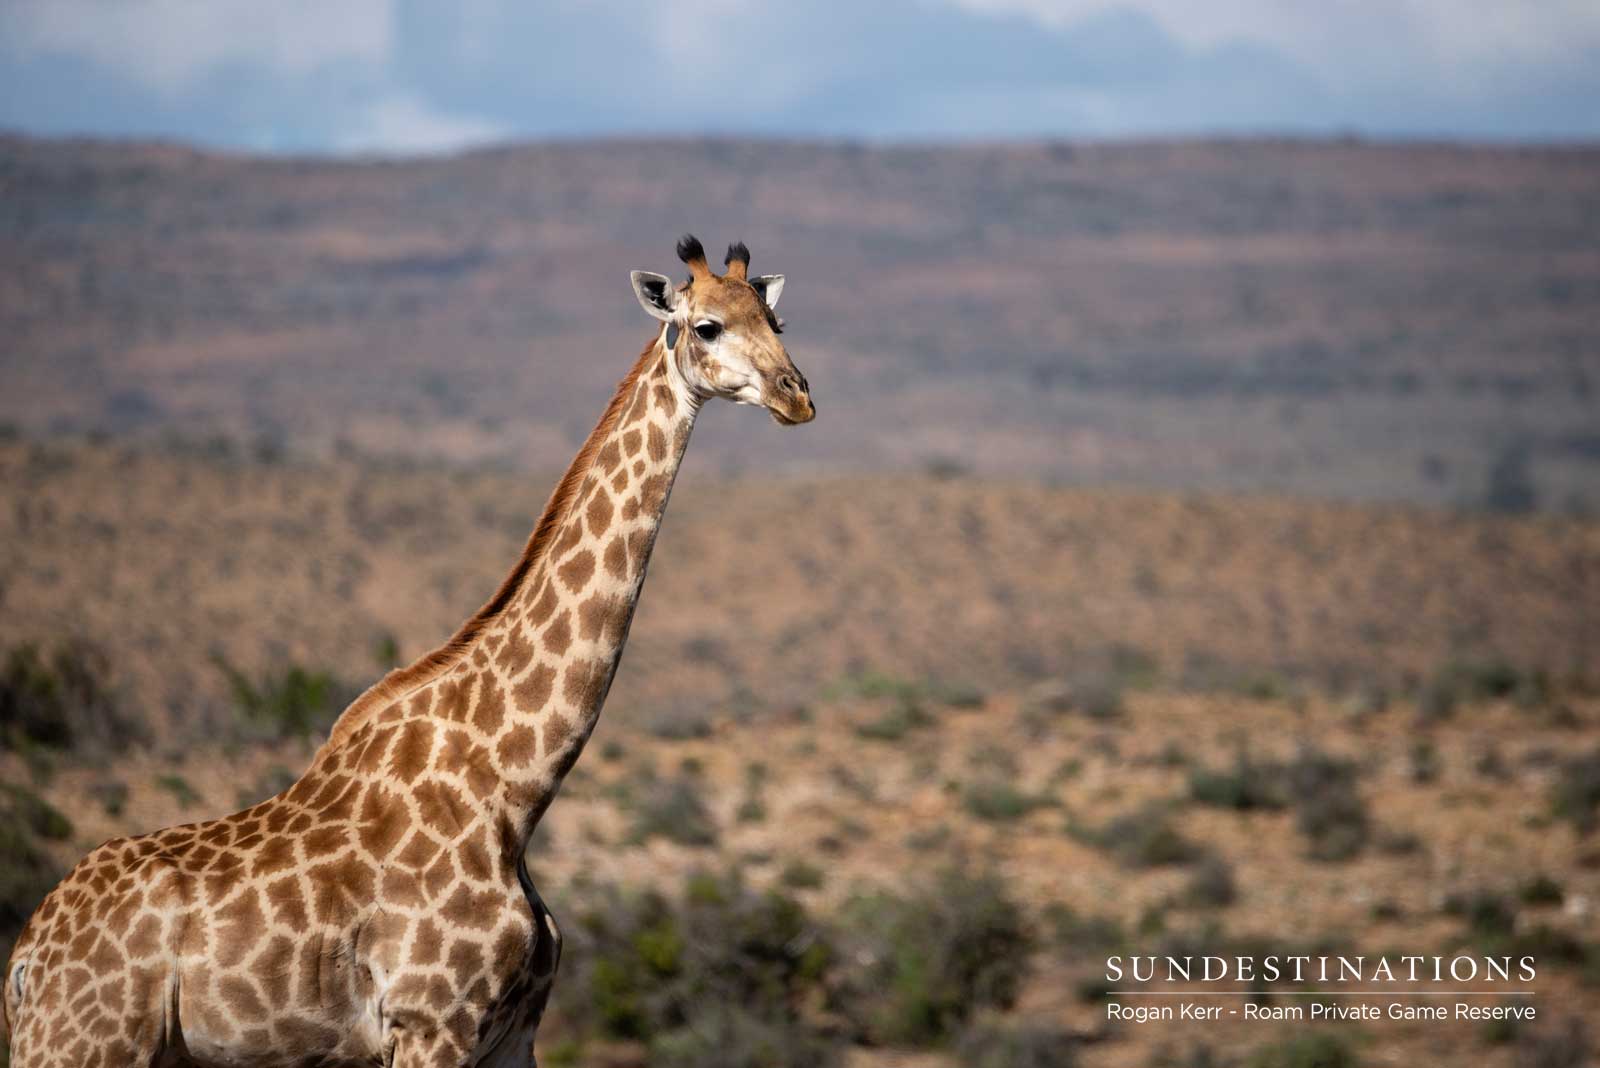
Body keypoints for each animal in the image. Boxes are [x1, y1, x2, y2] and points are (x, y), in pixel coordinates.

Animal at [3, 235, 813, 1068]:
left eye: (777, 319)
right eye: (708, 326)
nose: (798, 396)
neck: (514, 787)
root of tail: (25, 961)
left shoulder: (512, 1035)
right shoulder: (431, 1024)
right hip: (84, 1045)